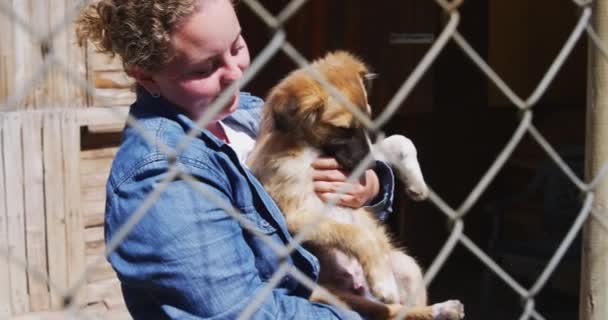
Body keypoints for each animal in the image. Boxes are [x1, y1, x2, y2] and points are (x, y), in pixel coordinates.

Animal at [246, 51, 460, 318]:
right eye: (342, 129)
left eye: (367, 120)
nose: (369, 168)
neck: (313, 148)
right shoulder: (297, 215)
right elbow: (357, 234)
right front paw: (384, 282)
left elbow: (399, 140)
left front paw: (416, 184)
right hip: (325, 293)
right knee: (390, 310)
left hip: (408, 268)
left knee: (404, 309)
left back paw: (442, 309)